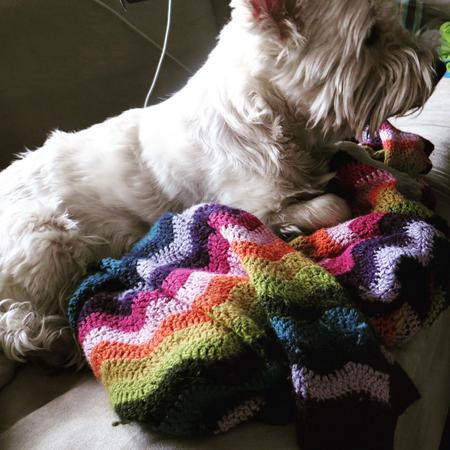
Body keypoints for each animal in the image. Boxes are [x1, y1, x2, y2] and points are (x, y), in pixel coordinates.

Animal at [0, 0, 442, 386]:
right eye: (370, 36)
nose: (439, 67)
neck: (276, 114)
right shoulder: (255, 205)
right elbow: (332, 202)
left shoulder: (324, 149)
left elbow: (355, 152)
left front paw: (400, 178)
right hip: (47, 237)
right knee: (14, 321)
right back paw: (56, 344)